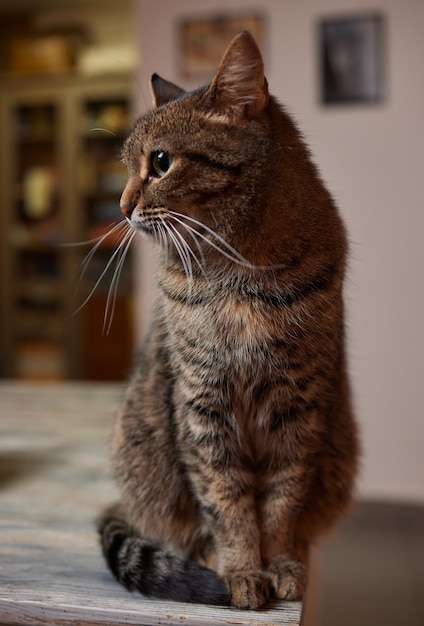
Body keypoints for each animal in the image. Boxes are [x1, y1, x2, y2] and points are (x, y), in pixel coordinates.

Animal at [97, 31, 360, 608]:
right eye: (126, 166)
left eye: (161, 161)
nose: (122, 207)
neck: (236, 276)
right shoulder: (203, 405)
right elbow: (227, 502)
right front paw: (240, 569)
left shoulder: (298, 409)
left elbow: (281, 504)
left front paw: (280, 562)